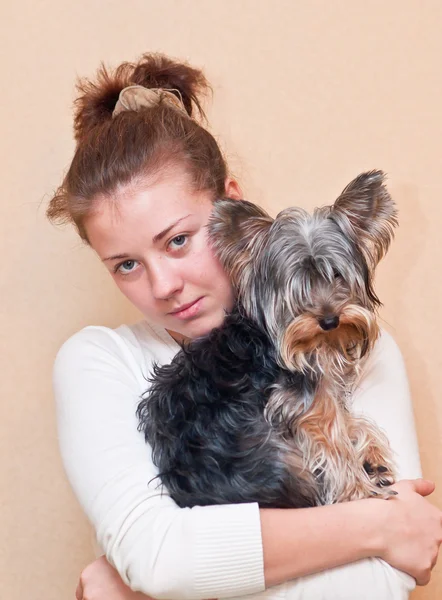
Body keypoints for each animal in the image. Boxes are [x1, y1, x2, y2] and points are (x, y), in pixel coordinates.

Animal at [137, 169, 398, 506]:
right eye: (296, 290)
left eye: (337, 276)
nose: (329, 320)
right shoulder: (300, 402)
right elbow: (332, 437)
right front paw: (358, 490)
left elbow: (347, 420)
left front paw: (372, 455)